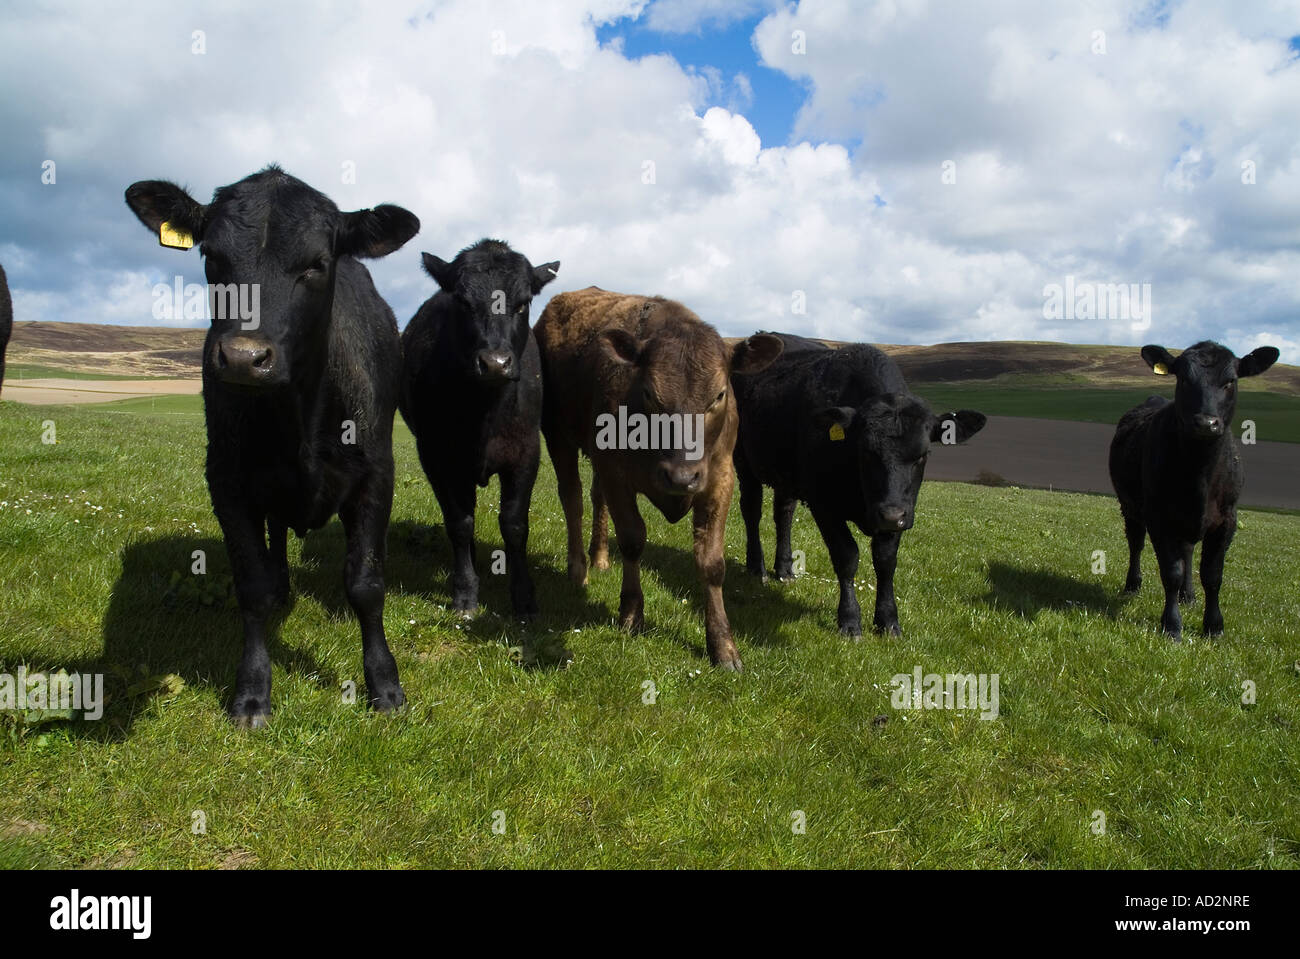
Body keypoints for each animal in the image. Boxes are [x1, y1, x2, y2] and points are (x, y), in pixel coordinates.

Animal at [124, 165, 419, 726]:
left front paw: (385, 685)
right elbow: (253, 586)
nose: (244, 357)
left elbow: (366, 585)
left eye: (317, 264)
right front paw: (252, 693)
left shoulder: (377, 474)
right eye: (211, 256)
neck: (296, 421)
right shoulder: (227, 480)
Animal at [398, 239, 559, 619]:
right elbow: (459, 522)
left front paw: (524, 598)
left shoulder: (527, 453)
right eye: (462, 301)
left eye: (522, 302)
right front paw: (466, 594)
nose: (495, 363)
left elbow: (514, 524)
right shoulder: (435, 456)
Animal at [535, 288, 782, 670]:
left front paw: (723, 645)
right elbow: (633, 540)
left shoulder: (720, 478)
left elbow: (711, 562)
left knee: (594, 497)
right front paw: (631, 614)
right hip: (557, 434)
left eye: (719, 395)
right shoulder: (615, 471)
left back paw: (600, 558)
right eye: (650, 394)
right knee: (572, 498)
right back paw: (579, 570)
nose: (681, 477)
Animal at [732, 335, 986, 637]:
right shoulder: (823, 503)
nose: (891, 515)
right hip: (744, 463)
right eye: (865, 451)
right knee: (752, 512)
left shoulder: (897, 511)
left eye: (923, 454)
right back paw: (756, 568)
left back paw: (784, 570)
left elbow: (885, 561)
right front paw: (850, 620)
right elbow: (847, 556)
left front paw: (888, 620)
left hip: (786, 475)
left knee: (783, 514)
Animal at [1109, 340, 1279, 640]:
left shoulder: (1227, 519)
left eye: (1230, 381)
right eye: (1183, 378)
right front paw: (1172, 625)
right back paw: (1133, 585)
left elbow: (1212, 574)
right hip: (1130, 507)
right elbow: (1171, 572)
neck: (1199, 475)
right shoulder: (1159, 518)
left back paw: (1188, 595)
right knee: (1136, 543)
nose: (1205, 423)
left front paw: (1214, 626)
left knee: (1187, 551)